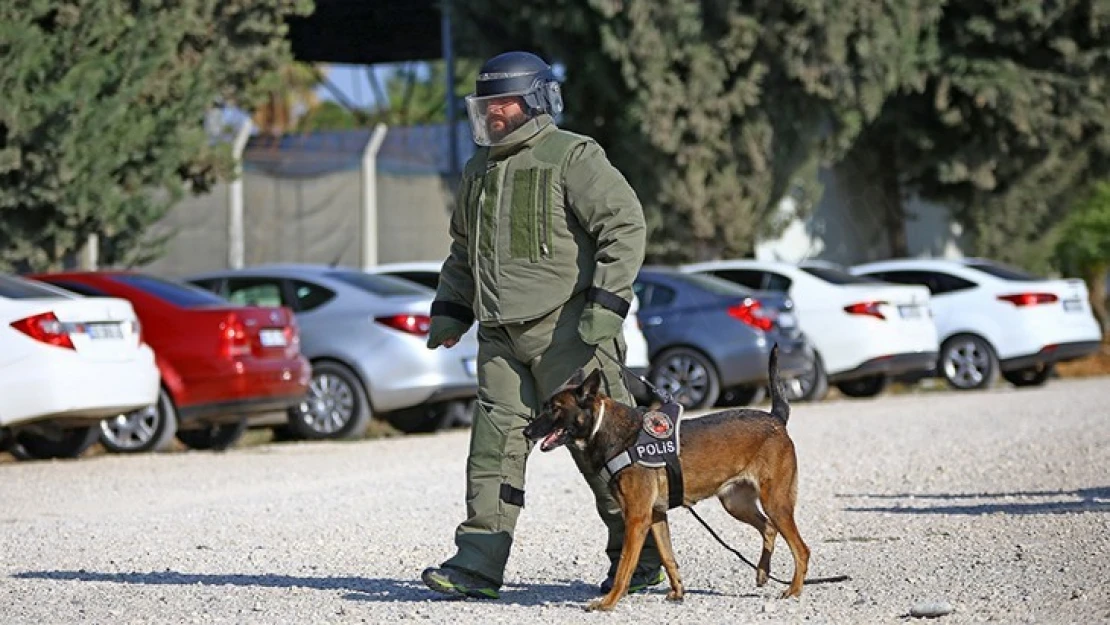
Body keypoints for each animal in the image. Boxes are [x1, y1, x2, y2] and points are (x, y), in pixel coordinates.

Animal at [523, 346, 812, 612]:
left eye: (555, 409)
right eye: (546, 407)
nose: (526, 431)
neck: (606, 429)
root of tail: (776, 418)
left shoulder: (637, 518)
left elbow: (624, 566)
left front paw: (609, 602)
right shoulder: (656, 516)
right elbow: (668, 557)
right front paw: (678, 592)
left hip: (775, 503)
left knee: (801, 549)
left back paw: (794, 590)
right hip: (736, 504)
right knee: (769, 528)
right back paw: (763, 572)